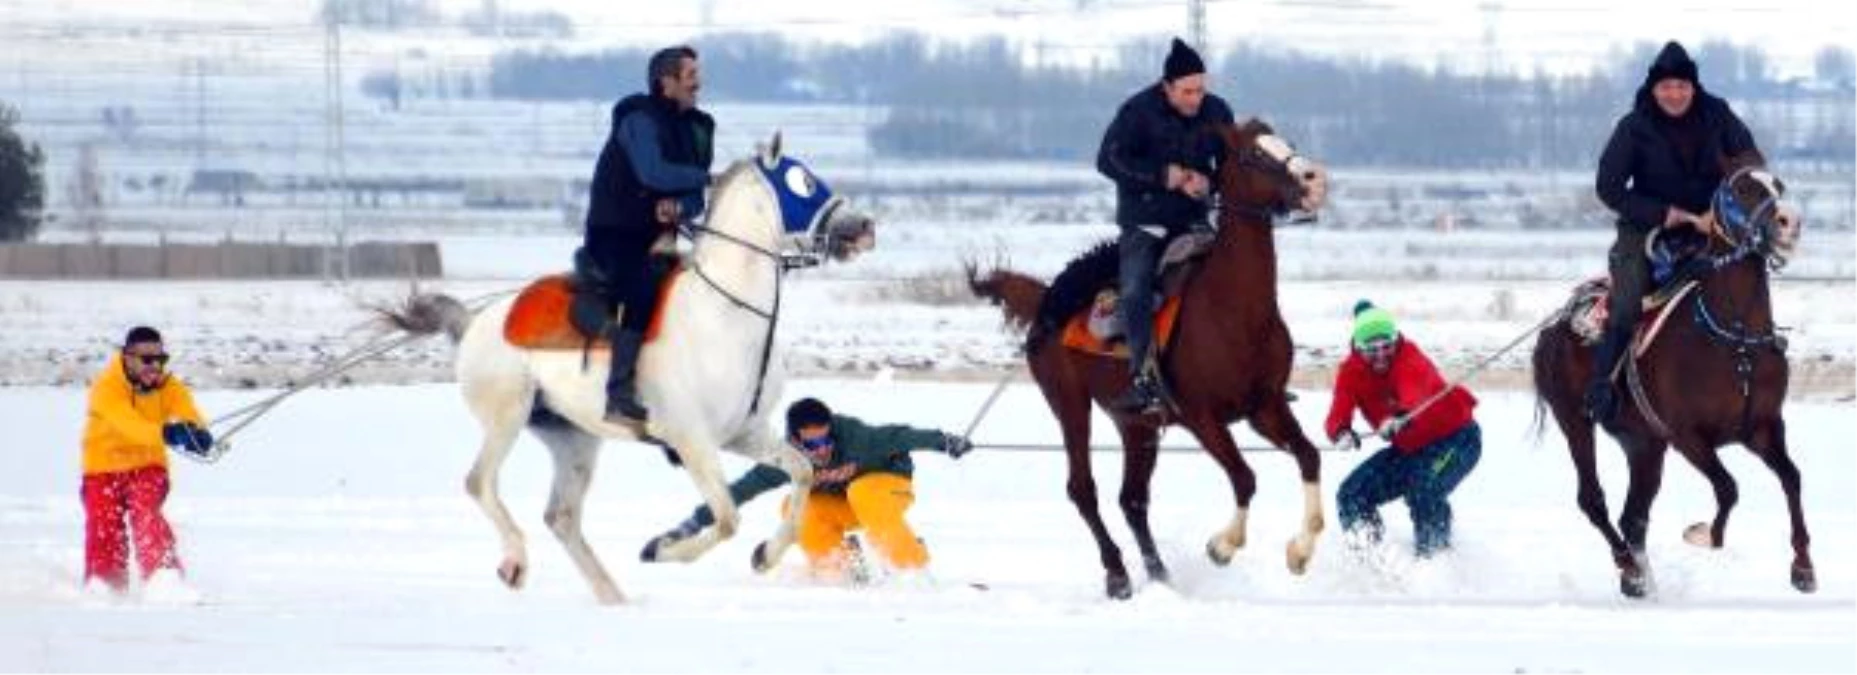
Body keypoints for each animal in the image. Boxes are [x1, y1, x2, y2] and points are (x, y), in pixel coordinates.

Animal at [382, 134, 876, 606]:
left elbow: (802, 473)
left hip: (573, 439)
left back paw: (613, 598)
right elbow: (727, 519)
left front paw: (765, 555)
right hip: (507, 417)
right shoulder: (692, 441)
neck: (725, 314)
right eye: (804, 183)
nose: (864, 228)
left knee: (561, 517)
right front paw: (662, 549)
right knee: (480, 483)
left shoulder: (745, 433)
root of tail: (475, 322)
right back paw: (516, 563)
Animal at [973, 119, 1337, 598]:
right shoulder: (1203, 418)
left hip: (1136, 425)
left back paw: (1160, 573)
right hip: (1070, 404)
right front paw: (1222, 547)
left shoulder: (1266, 407)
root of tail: (1047, 299)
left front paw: (1299, 552)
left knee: (1132, 499)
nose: (1314, 181)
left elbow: (1309, 456)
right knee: (1083, 489)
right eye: (1252, 154)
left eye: (1287, 144)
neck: (1234, 310)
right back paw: (1118, 574)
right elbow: (1245, 477)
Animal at [1530, 152, 1805, 598]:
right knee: (1594, 501)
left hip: (1642, 444)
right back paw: (1629, 569)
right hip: (1576, 422)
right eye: (1742, 188)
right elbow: (1728, 487)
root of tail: (1552, 329)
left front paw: (1803, 568)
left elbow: (1791, 478)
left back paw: (1641, 580)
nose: (1789, 222)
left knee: (1633, 516)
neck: (1735, 338)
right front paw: (1703, 534)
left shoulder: (1762, 428)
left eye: (1777, 184)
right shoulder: (1687, 437)